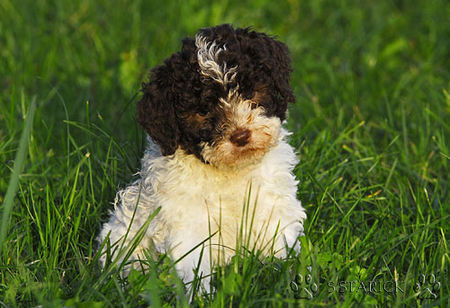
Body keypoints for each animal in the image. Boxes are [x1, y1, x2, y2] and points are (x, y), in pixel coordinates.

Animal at [97, 24, 306, 292]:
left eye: (249, 91)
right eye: (204, 111)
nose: (240, 135)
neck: (231, 172)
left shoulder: (273, 206)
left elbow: (282, 247)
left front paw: (289, 283)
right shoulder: (188, 224)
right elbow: (194, 264)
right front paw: (201, 295)